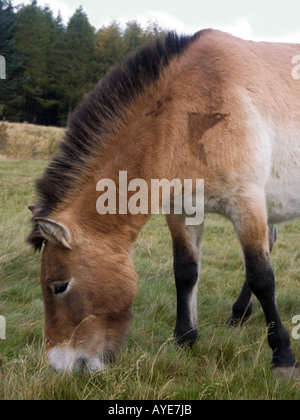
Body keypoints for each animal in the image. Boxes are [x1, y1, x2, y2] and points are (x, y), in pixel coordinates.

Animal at [28, 30, 300, 378]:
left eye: (59, 286)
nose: (59, 365)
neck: (195, 110)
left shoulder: (247, 203)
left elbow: (262, 277)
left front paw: (282, 355)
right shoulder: (182, 211)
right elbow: (185, 271)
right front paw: (184, 338)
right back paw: (238, 315)